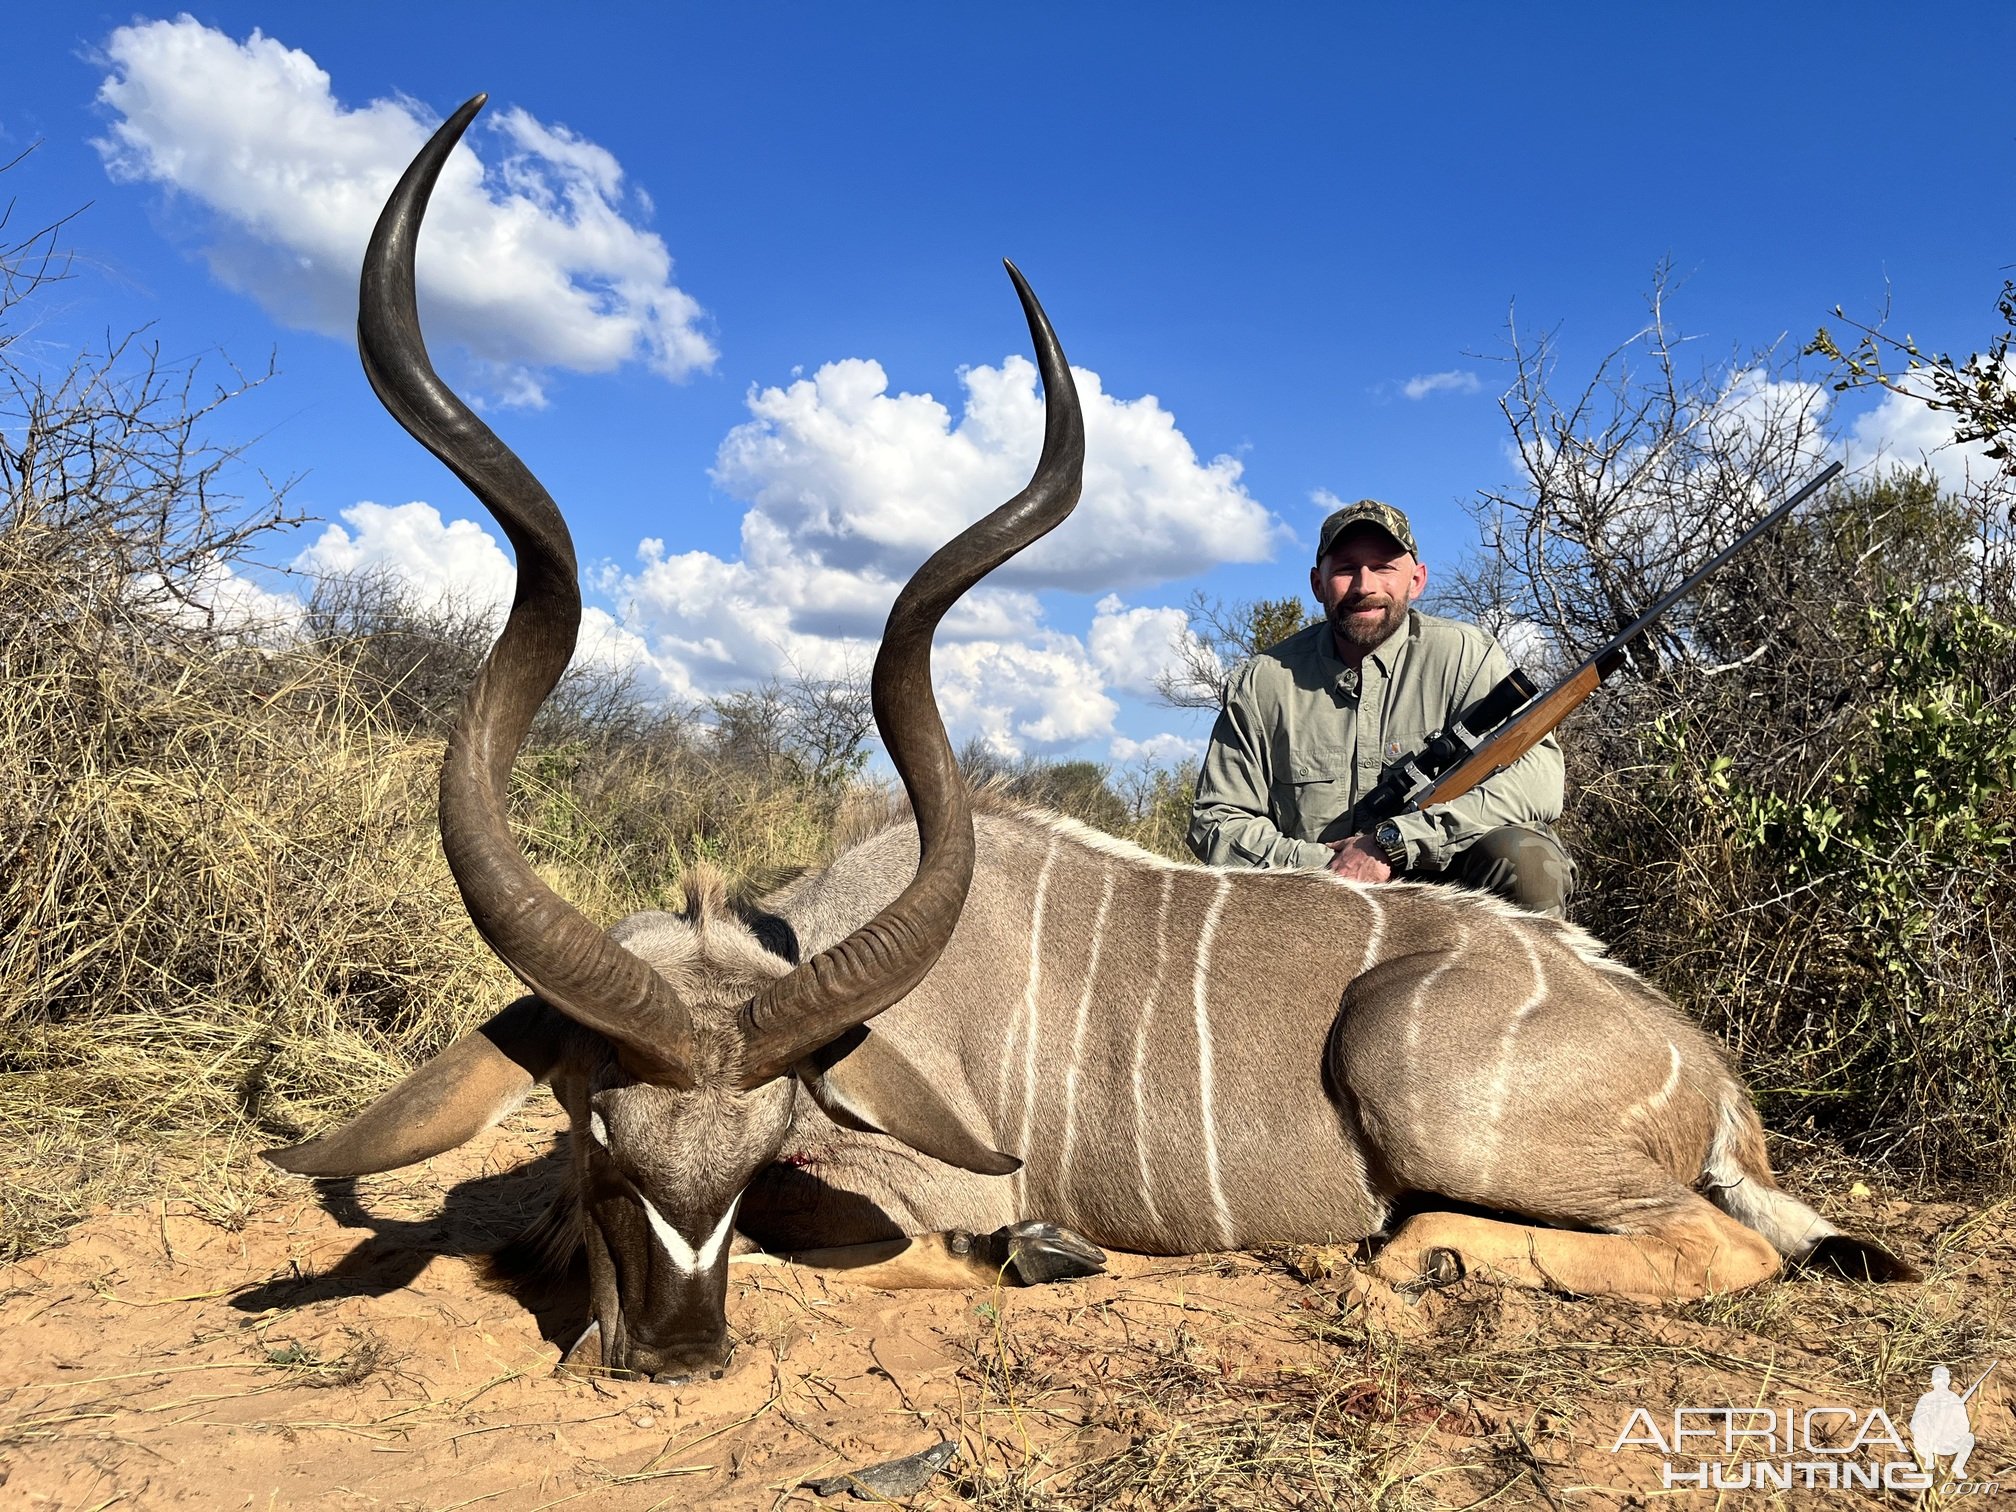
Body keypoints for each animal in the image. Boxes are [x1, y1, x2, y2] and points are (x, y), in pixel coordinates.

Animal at [264, 100, 1903, 1395]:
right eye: (601, 1138)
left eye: (759, 1141)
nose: (677, 1355)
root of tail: (1709, 1077)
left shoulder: (908, 1177)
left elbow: (893, 1243)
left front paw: (1034, 1252)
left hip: (1418, 1076)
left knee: (1713, 1246)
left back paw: (1415, 1259)